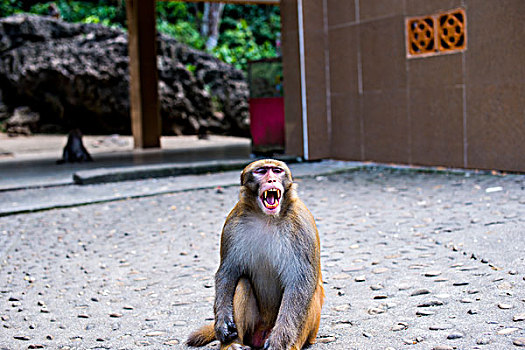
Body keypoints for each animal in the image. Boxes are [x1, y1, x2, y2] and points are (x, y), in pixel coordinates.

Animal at [186, 159, 322, 350]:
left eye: (277, 171)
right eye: (261, 171)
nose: (272, 180)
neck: (268, 218)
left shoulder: (302, 226)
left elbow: (301, 282)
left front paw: (279, 340)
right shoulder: (232, 223)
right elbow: (228, 272)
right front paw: (222, 322)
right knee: (242, 282)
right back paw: (232, 344)